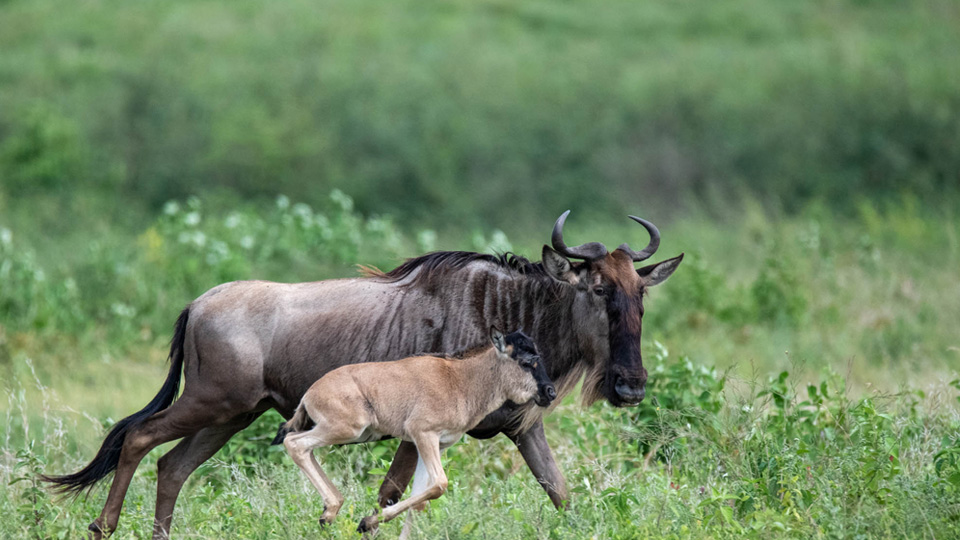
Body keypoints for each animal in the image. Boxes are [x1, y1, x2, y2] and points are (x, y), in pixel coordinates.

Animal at [270, 326, 556, 532]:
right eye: (526, 361)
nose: (549, 392)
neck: (461, 380)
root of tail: (310, 394)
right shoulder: (423, 434)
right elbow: (440, 484)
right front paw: (367, 521)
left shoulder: (435, 444)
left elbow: (421, 499)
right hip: (347, 429)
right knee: (295, 443)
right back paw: (329, 511)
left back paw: (330, 512)